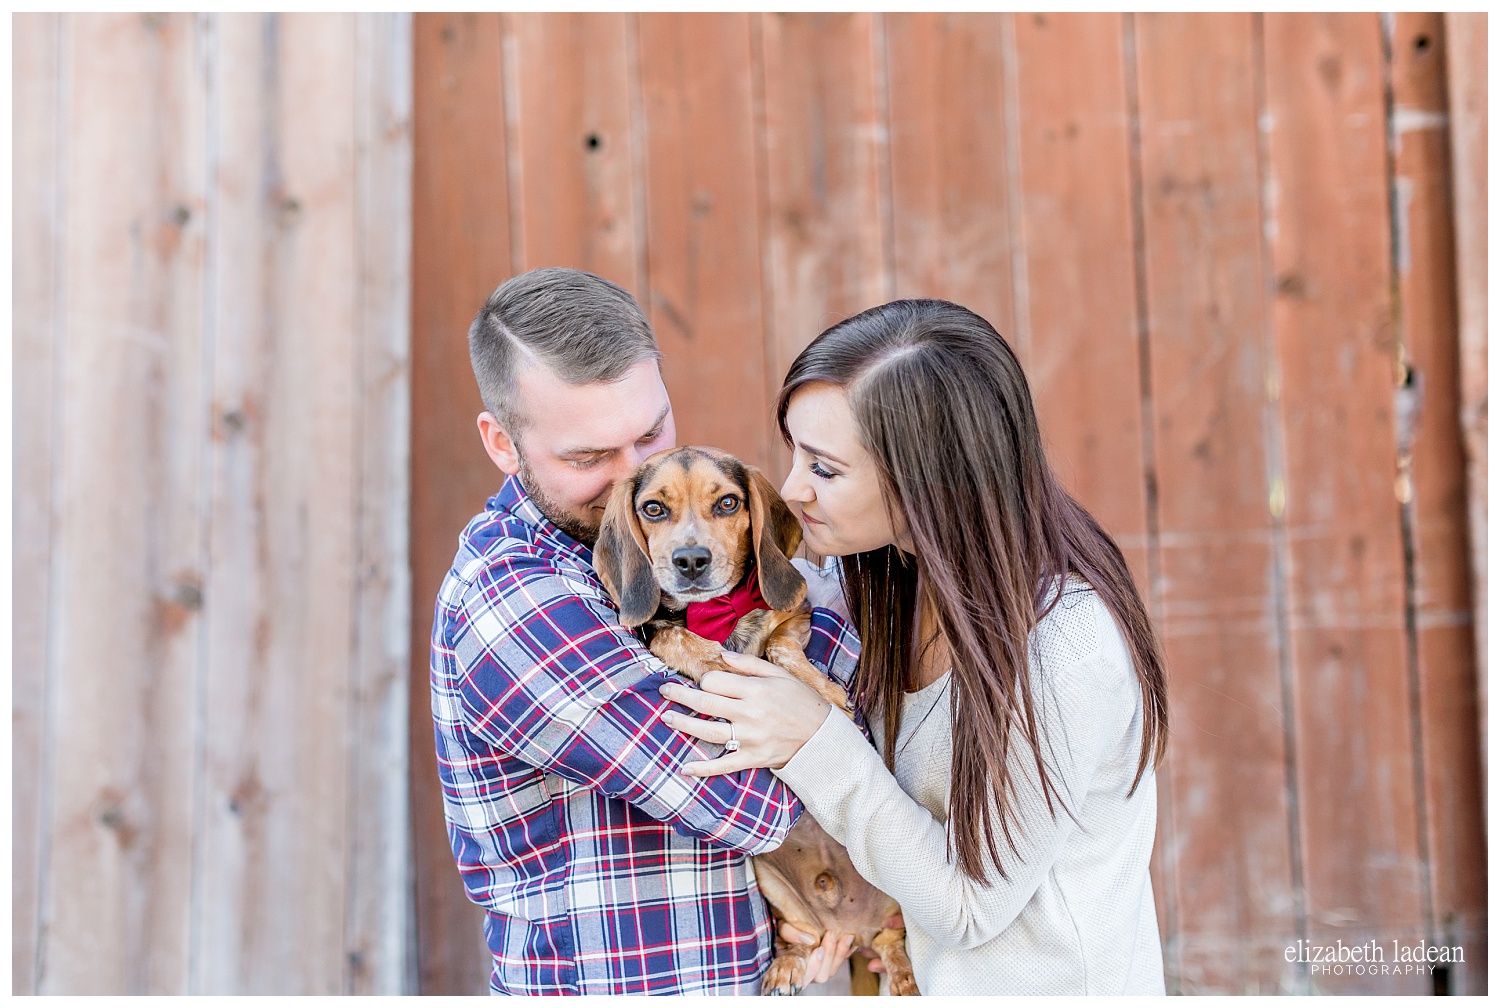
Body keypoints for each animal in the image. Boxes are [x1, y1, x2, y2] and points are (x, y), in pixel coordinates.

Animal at [591, 450, 918, 1002]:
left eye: (728, 503)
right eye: (654, 509)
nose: (691, 561)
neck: (716, 614)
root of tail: (852, 931)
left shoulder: (794, 614)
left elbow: (782, 645)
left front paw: (826, 692)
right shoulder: (660, 630)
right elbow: (676, 640)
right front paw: (713, 660)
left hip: (895, 899)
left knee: (894, 943)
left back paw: (905, 979)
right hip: (775, 886)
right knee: (807, 940)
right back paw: (787, 967)